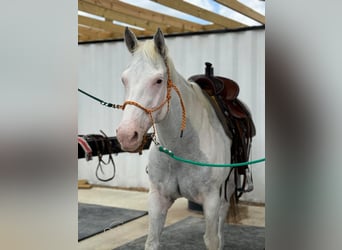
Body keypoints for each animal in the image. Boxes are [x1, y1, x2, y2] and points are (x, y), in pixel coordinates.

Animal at [115, 27, 235, 250]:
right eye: (124, 79)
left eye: (158, 80)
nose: (127, 135)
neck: (181, 148)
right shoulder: (157, 198)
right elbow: (152, 241)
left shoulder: (212, 200)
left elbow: (212, 239)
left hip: (228, 188)